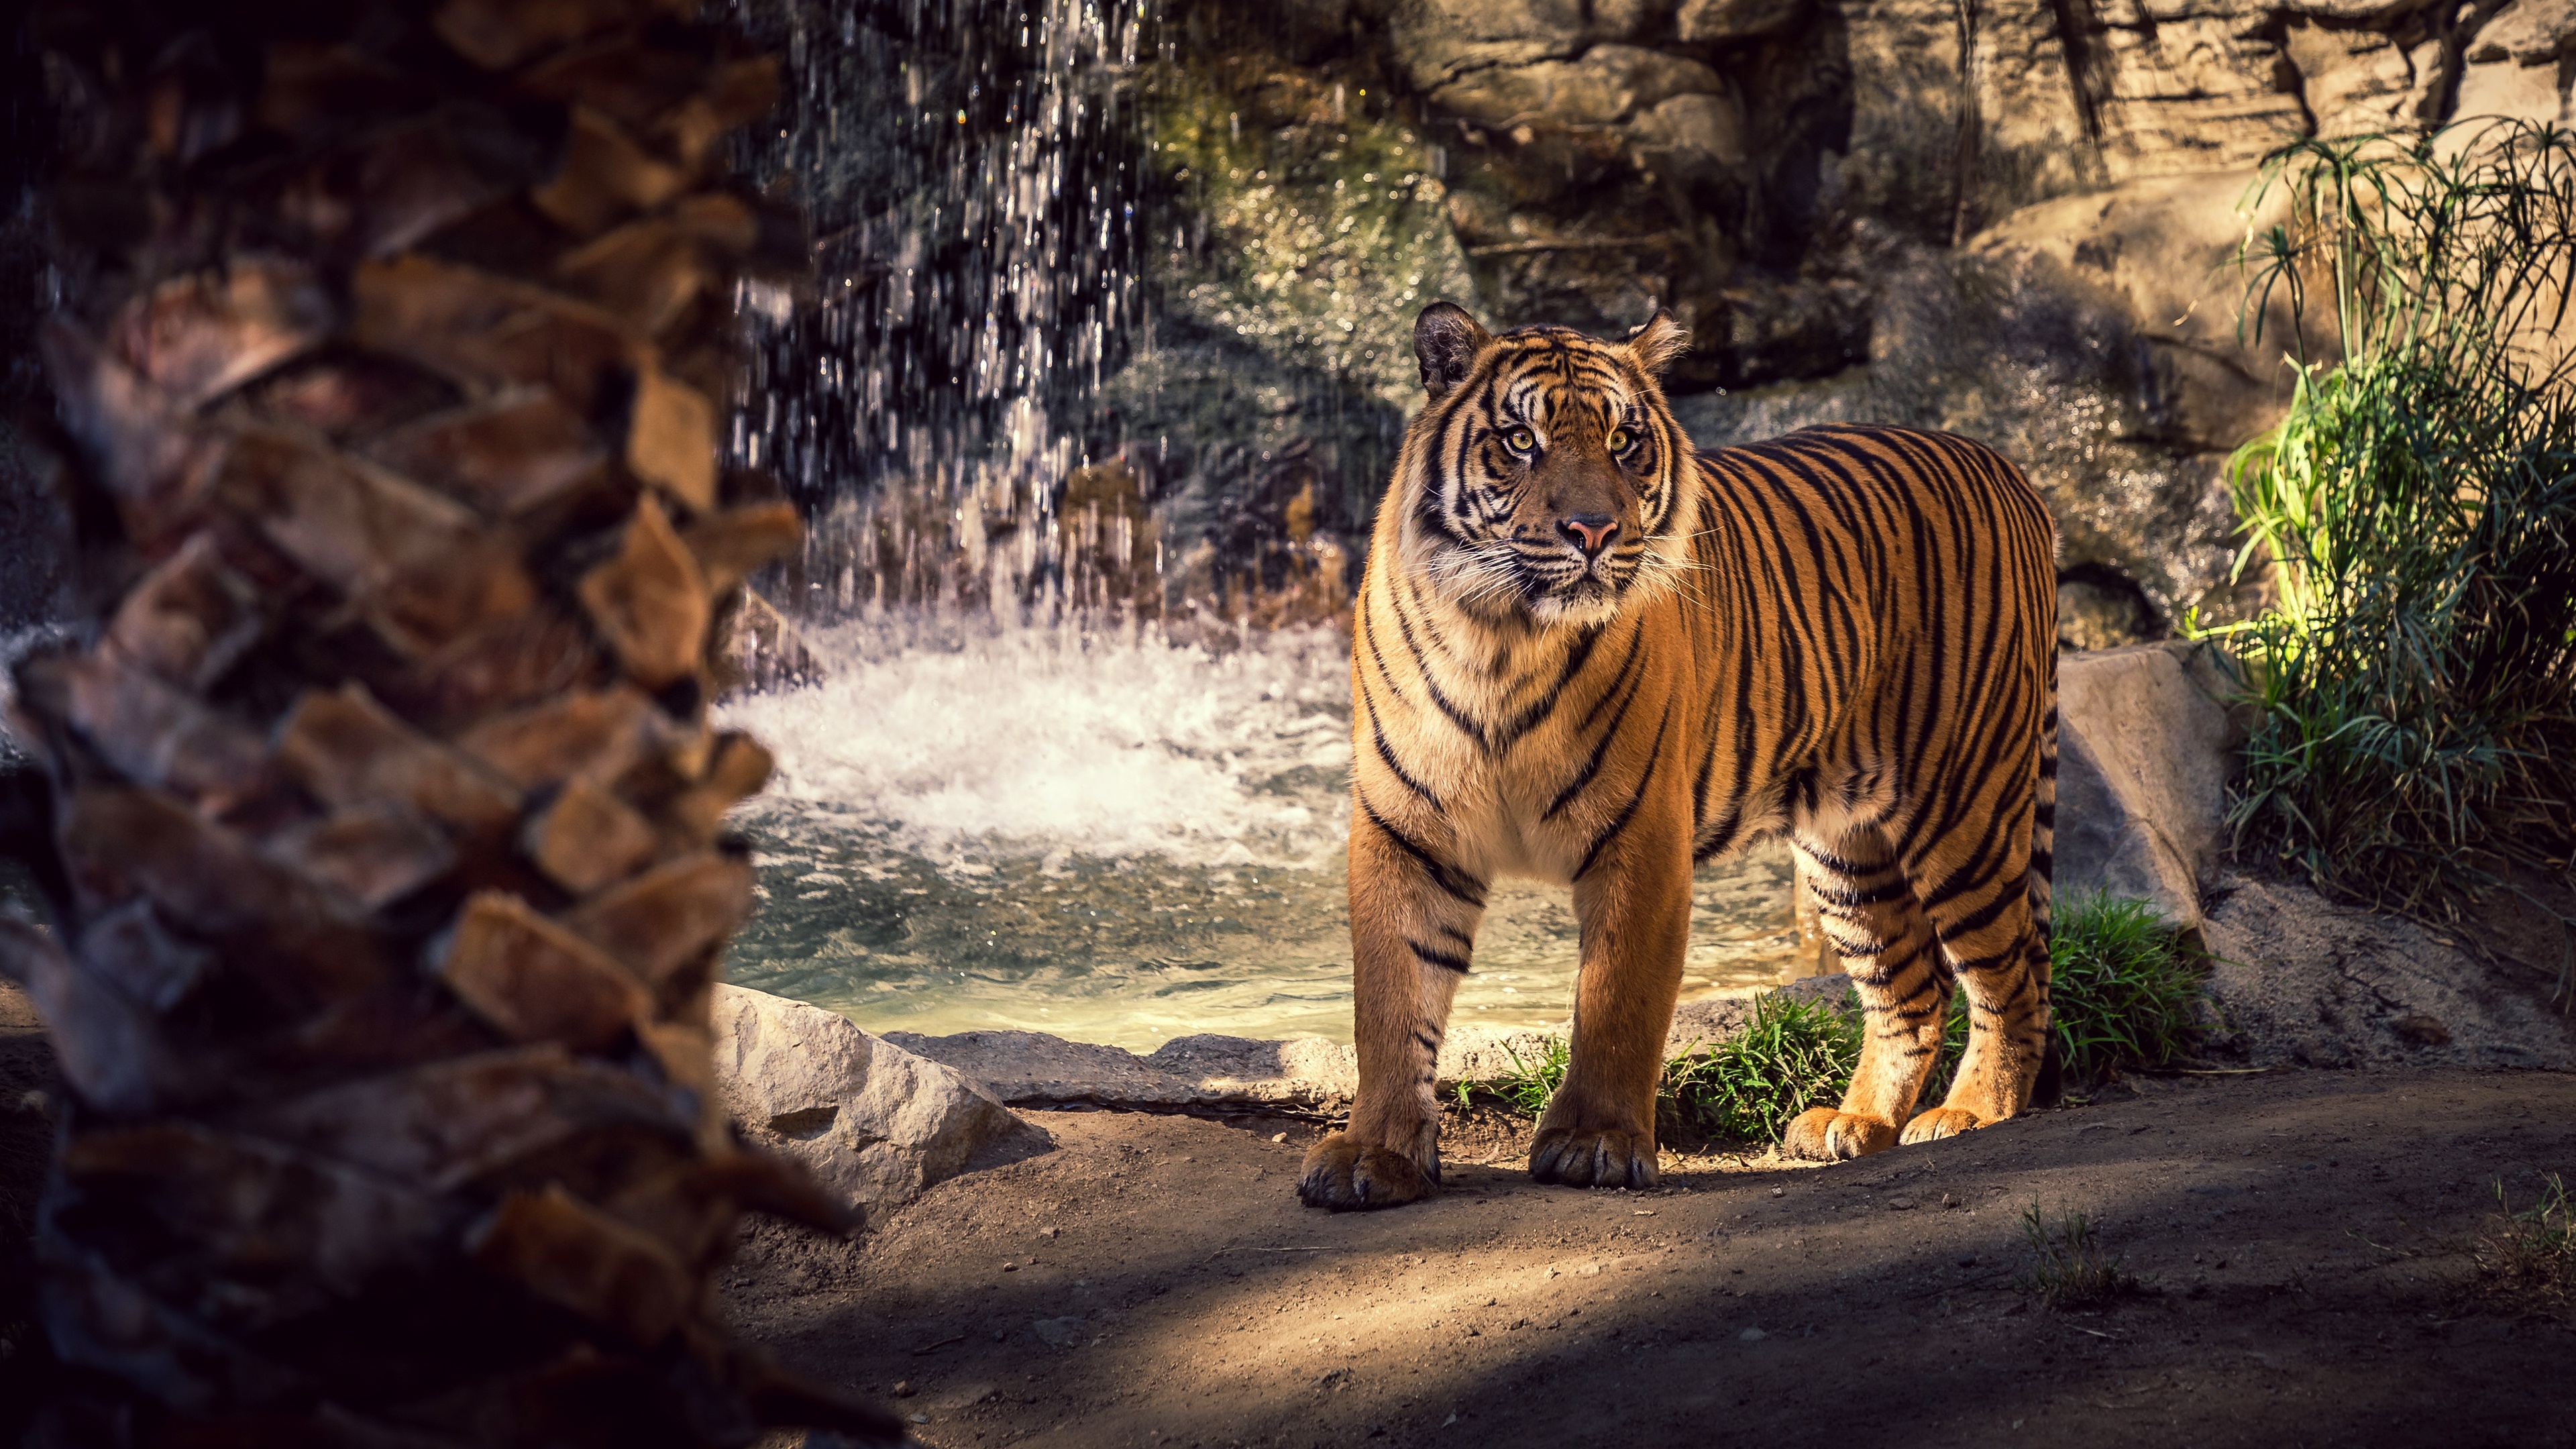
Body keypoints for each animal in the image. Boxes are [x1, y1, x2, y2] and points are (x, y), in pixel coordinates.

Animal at [1297, 302, 2060, 1210]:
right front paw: (1373, 1155)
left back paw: (1973, 1112)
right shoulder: (1405, 831)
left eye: (1625, 440)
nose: (1593, 531)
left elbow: (1617, 1001)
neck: (1502, 640)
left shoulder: (1641, 837)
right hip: (1847, 847)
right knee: (1912, 986)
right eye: (1521, 440)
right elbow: (1389, 1004)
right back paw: (1854, 1123)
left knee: (2012, 974)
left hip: (1965, 806)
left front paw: (1593, 1143)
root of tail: (2007, 467)